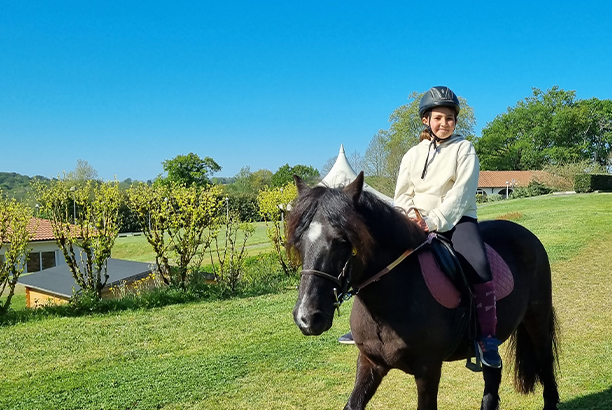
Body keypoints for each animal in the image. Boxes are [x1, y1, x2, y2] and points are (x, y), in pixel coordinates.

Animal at [286, 173, 560, 410]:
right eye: (299, 241)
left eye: (343, 241)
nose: (307, 318)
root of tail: (525, 234)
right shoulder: (370, 362)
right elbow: (353, 404)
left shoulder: (428, 370)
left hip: (537, 319)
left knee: (545, 361)